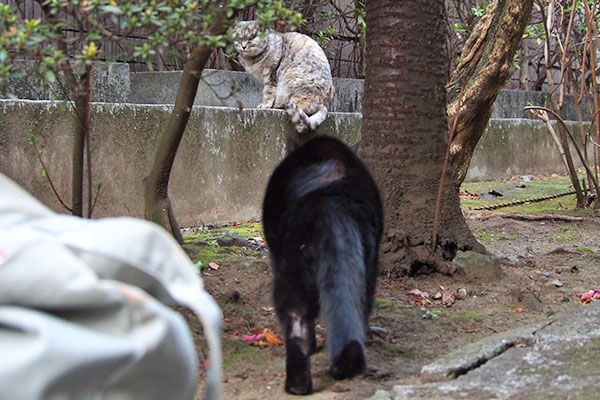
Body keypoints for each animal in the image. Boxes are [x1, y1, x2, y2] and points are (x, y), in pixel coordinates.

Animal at [262, 136, 384, 396]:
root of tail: (331, 198)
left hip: (290, 271)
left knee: (296, 322)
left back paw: (296, 386)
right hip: (367, 269)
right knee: (357, 312)